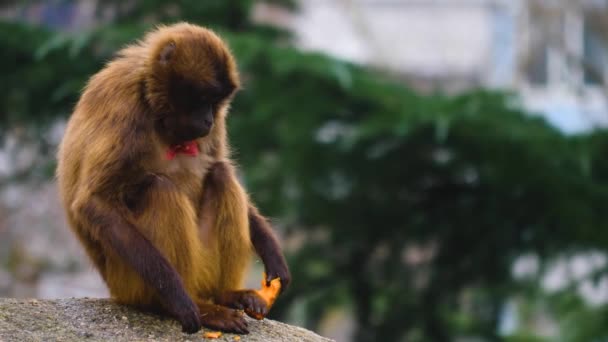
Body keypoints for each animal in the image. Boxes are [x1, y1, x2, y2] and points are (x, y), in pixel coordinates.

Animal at [57, 23, 292, 334]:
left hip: (202, 264)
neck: (153, 103)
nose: (208, 120)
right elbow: (94, 203)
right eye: (202, 100)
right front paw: (178, 300)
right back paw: (194, 307)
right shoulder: (125, 105)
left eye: (215, 103)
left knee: (220, 173)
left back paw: (226, 294)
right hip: (129, 280)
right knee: (160, 188)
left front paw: (272, 254)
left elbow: (215, 165)